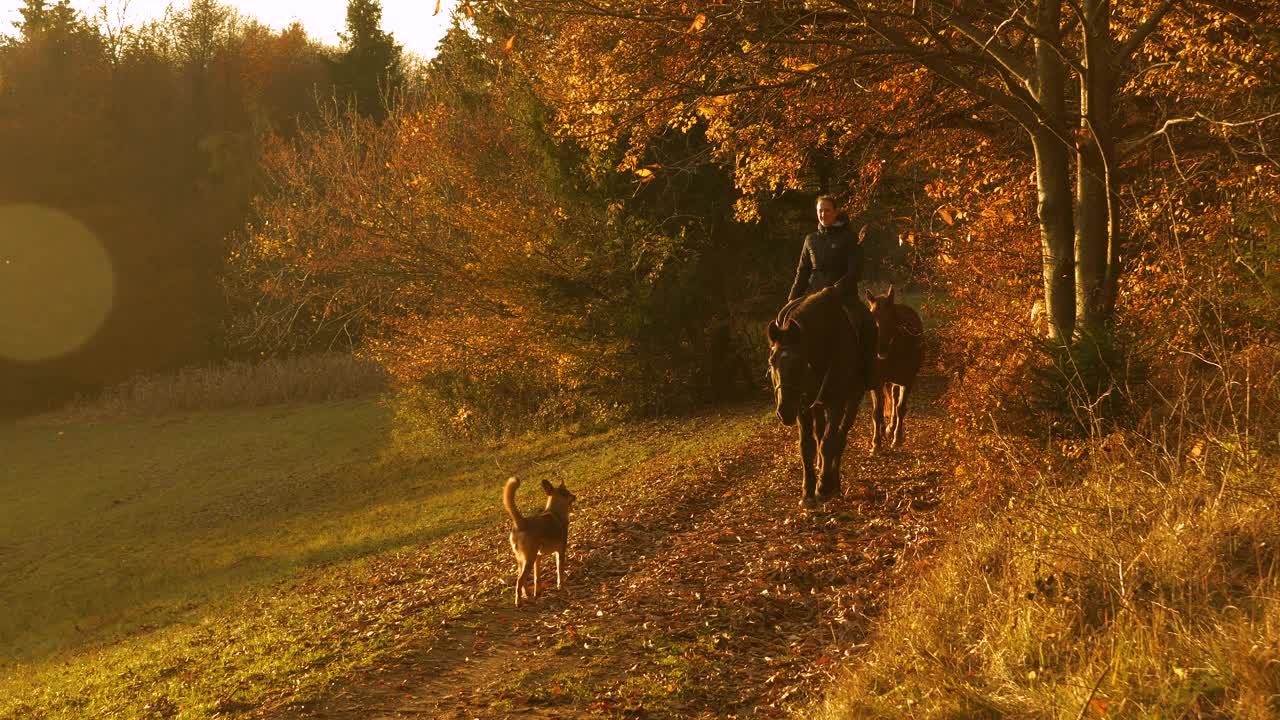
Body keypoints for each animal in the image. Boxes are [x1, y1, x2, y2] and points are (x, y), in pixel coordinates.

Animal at [501, 476, 578, 604]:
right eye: (566, 493)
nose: (575, 495)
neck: (556, 512)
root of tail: (521, 523)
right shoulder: (560, 552)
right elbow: (560, 571)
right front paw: (560, 586)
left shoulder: (538, 557)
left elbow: (537, 578)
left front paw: (537, 592)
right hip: (529, 559)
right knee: (519, 580)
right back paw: (519, 602)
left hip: (522, 560)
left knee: (521, 578)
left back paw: (526, 594)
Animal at [762, 283, 875, 507]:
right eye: (772, 362)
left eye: (800, 361)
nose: (784, 411)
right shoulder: (802, 408)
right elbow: (807, 446)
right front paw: (807, 492)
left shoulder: (836, 403)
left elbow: (829, 442)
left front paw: (823, 485)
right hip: (816, 406)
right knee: (821, 435)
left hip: (852, 400)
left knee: (839, 438)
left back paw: (834, 484)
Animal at [865, 284, 926, 448]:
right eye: (872, 317)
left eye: (891, 319)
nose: (880, 349)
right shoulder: (876, 381)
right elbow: (877, 411)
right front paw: (876, 443)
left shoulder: (908, 381)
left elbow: (900, 408)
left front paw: (897, 438)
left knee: (894, 398)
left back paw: (890, 429)